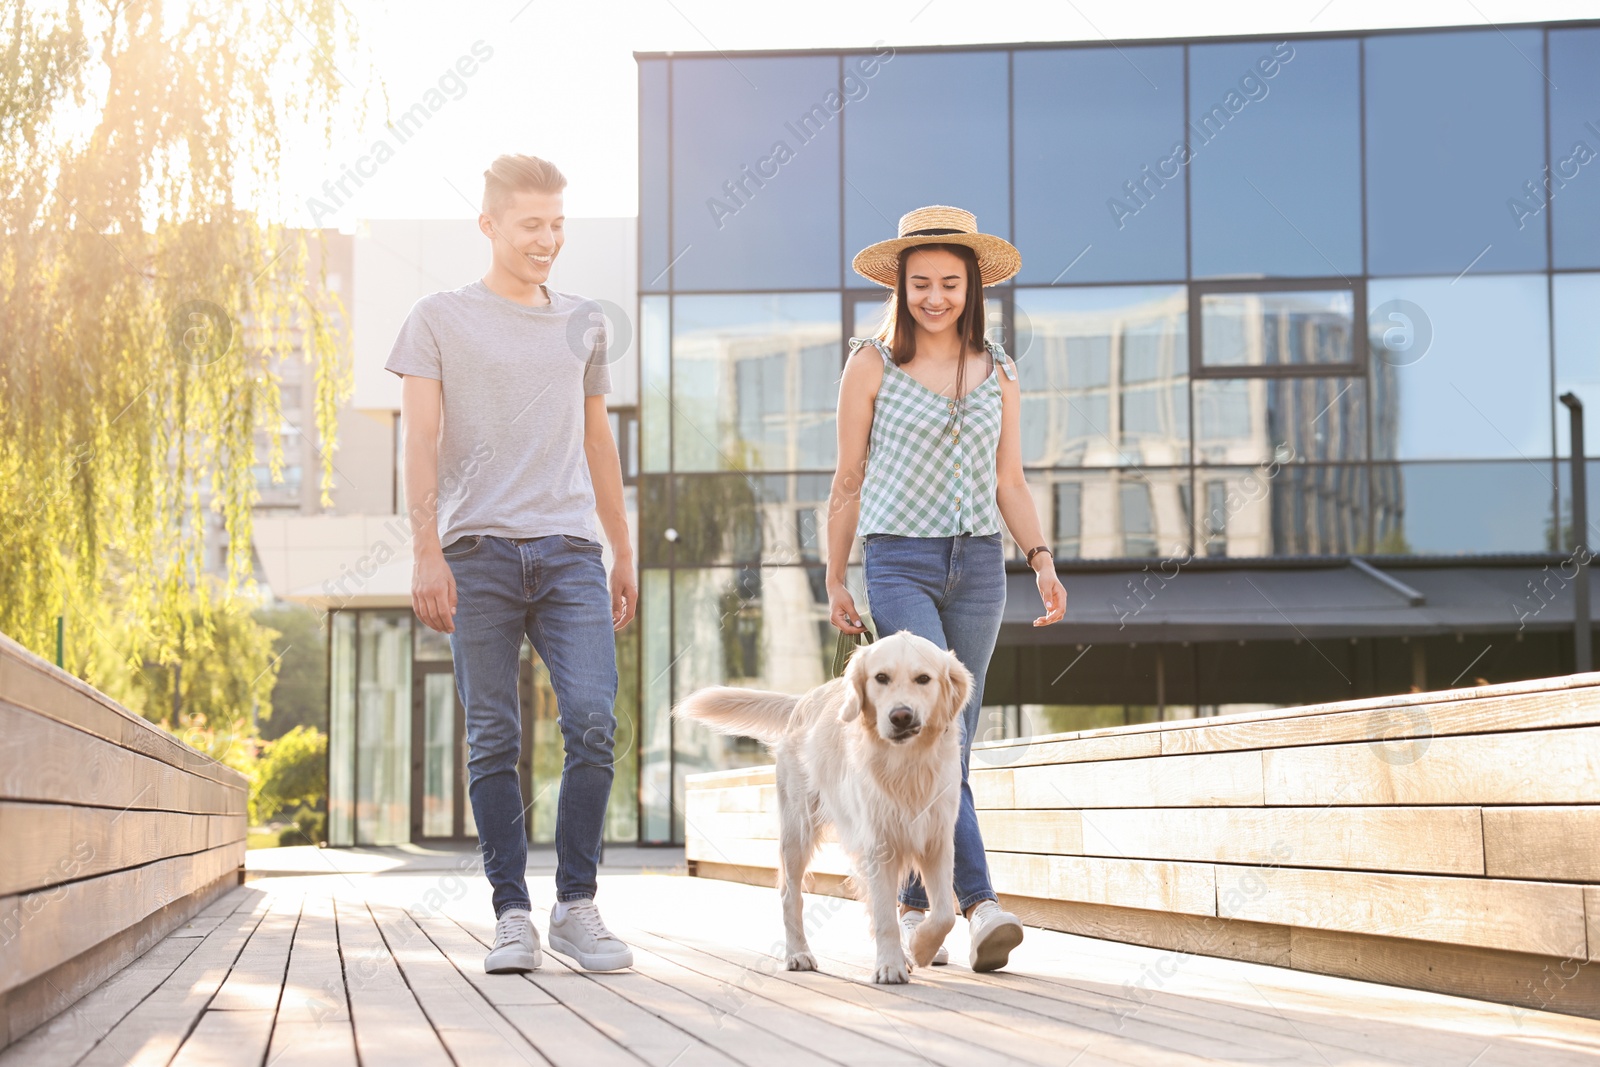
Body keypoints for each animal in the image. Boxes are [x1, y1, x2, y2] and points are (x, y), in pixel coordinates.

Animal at [668, 630, 966, 991]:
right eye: (881, 678)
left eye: (923, 679)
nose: (901, 716)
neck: (907, 765)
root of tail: (803, 701)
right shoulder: (877, 845)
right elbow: (885, 915)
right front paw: (892, 965)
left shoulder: (937, 839)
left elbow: (944, 914)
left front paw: (921, 948)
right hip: (797, 831)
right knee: (790, 896)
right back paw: (798, 954)